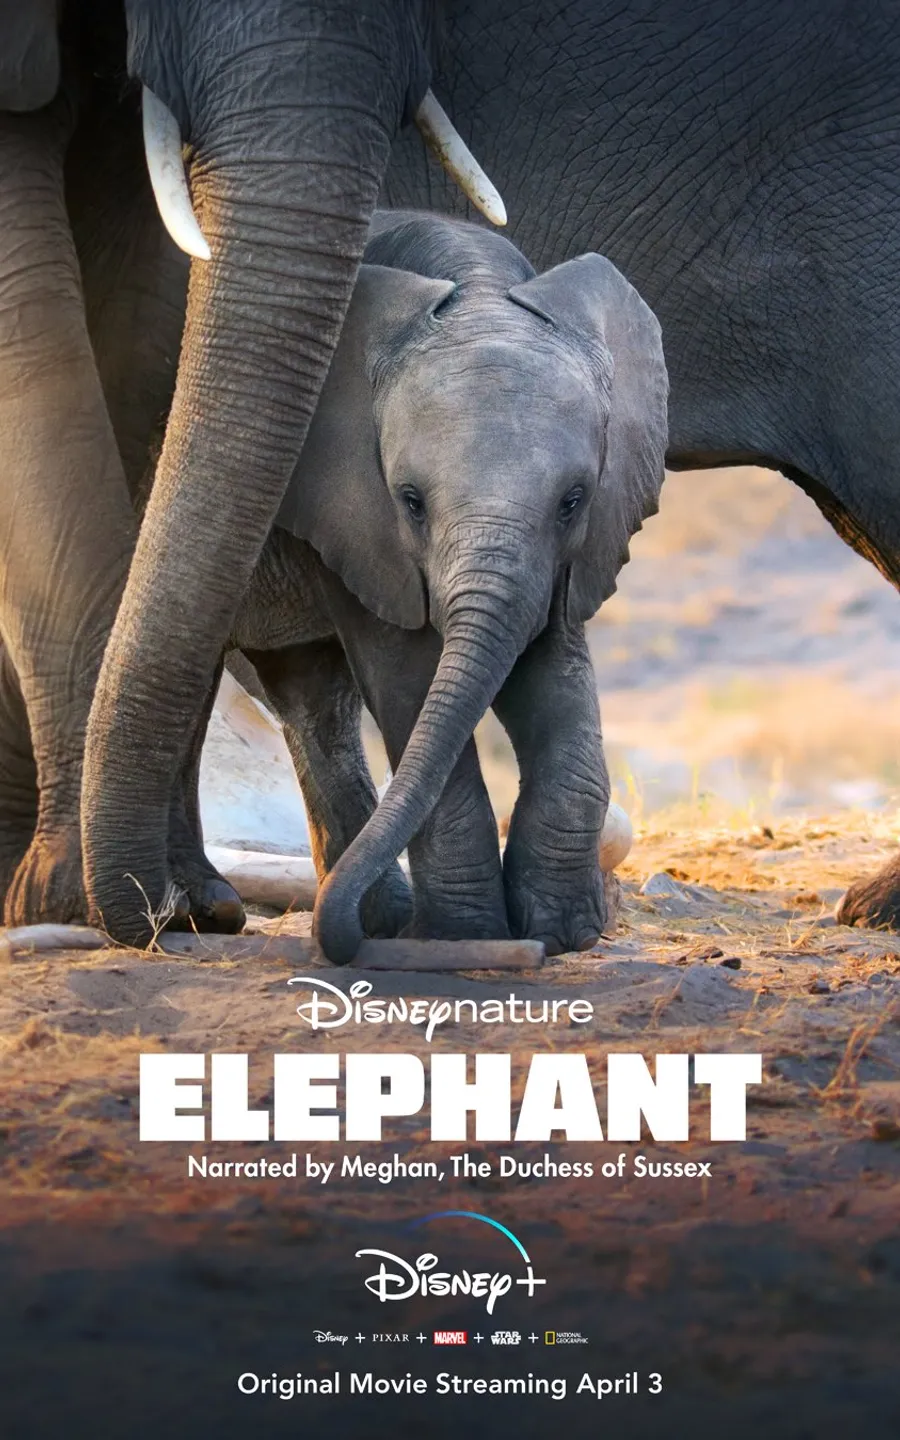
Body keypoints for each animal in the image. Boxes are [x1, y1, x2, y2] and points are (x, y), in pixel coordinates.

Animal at [226, 209, 666, 959]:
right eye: (410, 501)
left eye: (573, 500)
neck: (477, 288)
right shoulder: (352, 510)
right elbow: (408, 677)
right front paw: (466, 939)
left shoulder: (570, 555)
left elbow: (553, 671)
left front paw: (561, 934)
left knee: (309, 697)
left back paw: (377, 919)